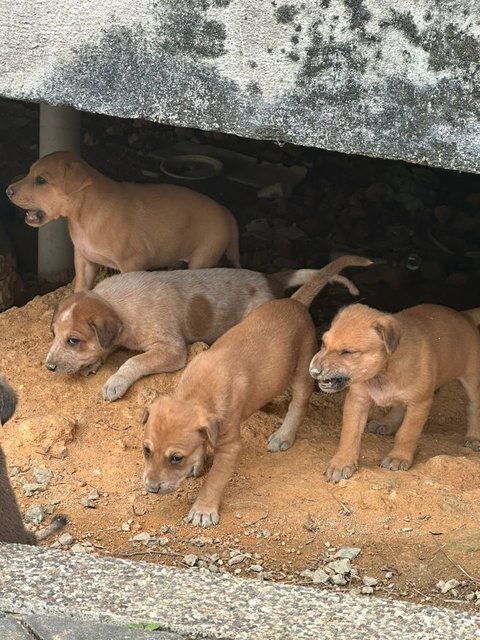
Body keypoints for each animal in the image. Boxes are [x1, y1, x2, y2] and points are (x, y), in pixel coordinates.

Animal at [5, 150, 240, 290]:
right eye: (30, 172)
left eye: (41, 180)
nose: (8, 191)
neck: (84, 216)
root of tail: (227, 213)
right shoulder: (84, 260)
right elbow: (80, 288)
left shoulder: (133, 262)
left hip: (204, 256)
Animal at [46, 258, 368, 400]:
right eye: (54, 334)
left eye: (73, 340)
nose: (48, 367)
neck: (117, 305)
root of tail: (271, 279)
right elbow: (108, 347)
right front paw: (93, 363)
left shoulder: (172, 349)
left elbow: (133, 360)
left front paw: (115, 382)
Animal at [141, 254, 374, 524]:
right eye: (146, 450)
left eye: (176, 458)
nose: (151, 488)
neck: (197, 394)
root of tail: (295, 303)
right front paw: (197, 464)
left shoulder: (230, 446)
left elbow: (214, 481)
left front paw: (203, 510)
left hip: (303, 368)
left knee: (299, 404)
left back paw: (284, 436)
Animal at [310, 304, 480, 480]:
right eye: (323, 343)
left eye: (347, 352)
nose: (313, 371)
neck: (383, 372)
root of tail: (465, 317)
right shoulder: (357, 400)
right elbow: (350, 433)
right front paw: (342, 462)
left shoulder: (419, 404)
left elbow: (407, 433)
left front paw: (398, 457)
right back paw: (386, 423)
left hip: (472, 378)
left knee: (474, 407)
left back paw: (474, 436)